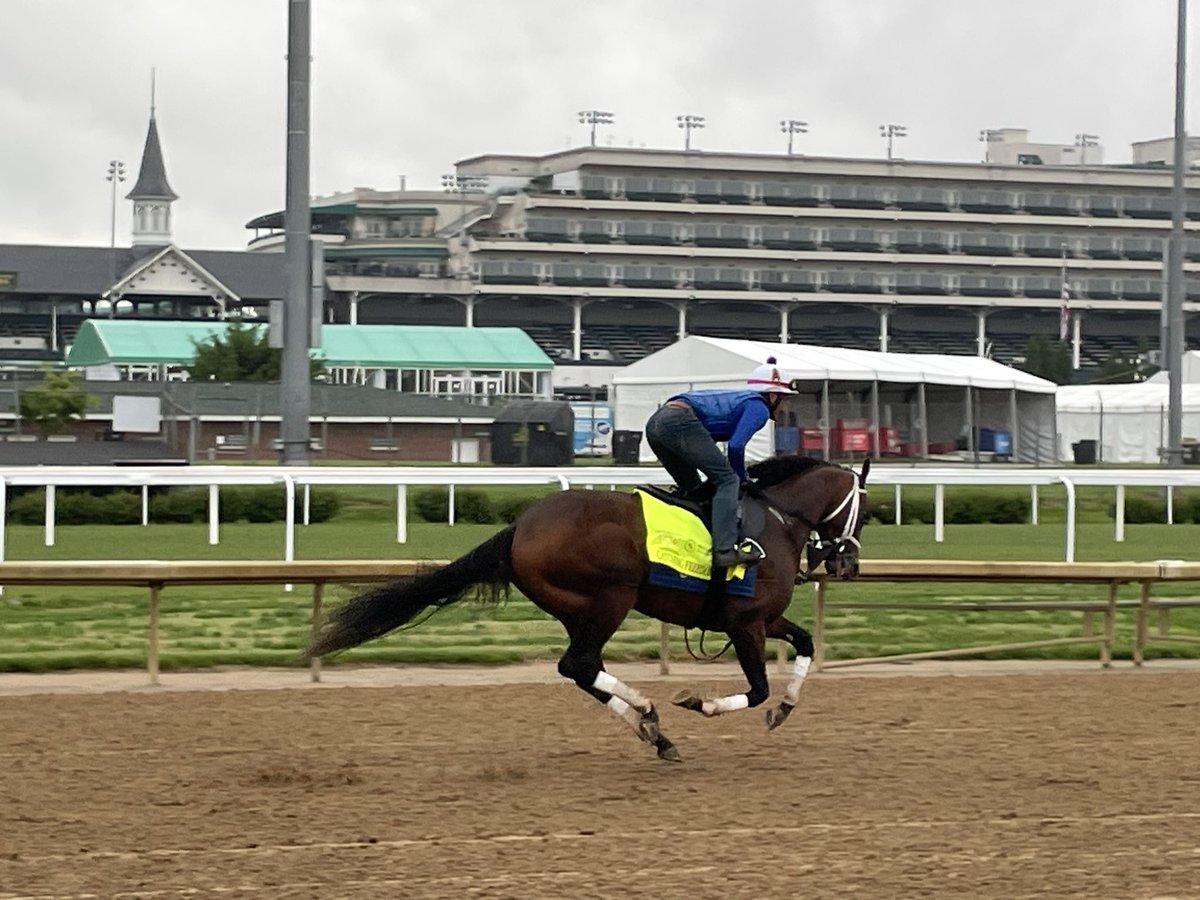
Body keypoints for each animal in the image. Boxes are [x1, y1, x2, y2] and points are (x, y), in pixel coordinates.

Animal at [309, 458, 873, 763]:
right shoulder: (745, 622)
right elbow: (756, 689)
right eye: (866, 510)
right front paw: (700, 703)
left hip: (577, 607)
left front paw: (785, 710)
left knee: (580, 667)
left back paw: (653, 730)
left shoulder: (763, 620)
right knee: (580, 663)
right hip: (611, 596)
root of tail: (520, 527)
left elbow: (804, 645)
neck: (777, 521)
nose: (848, 563)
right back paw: (650, 715)